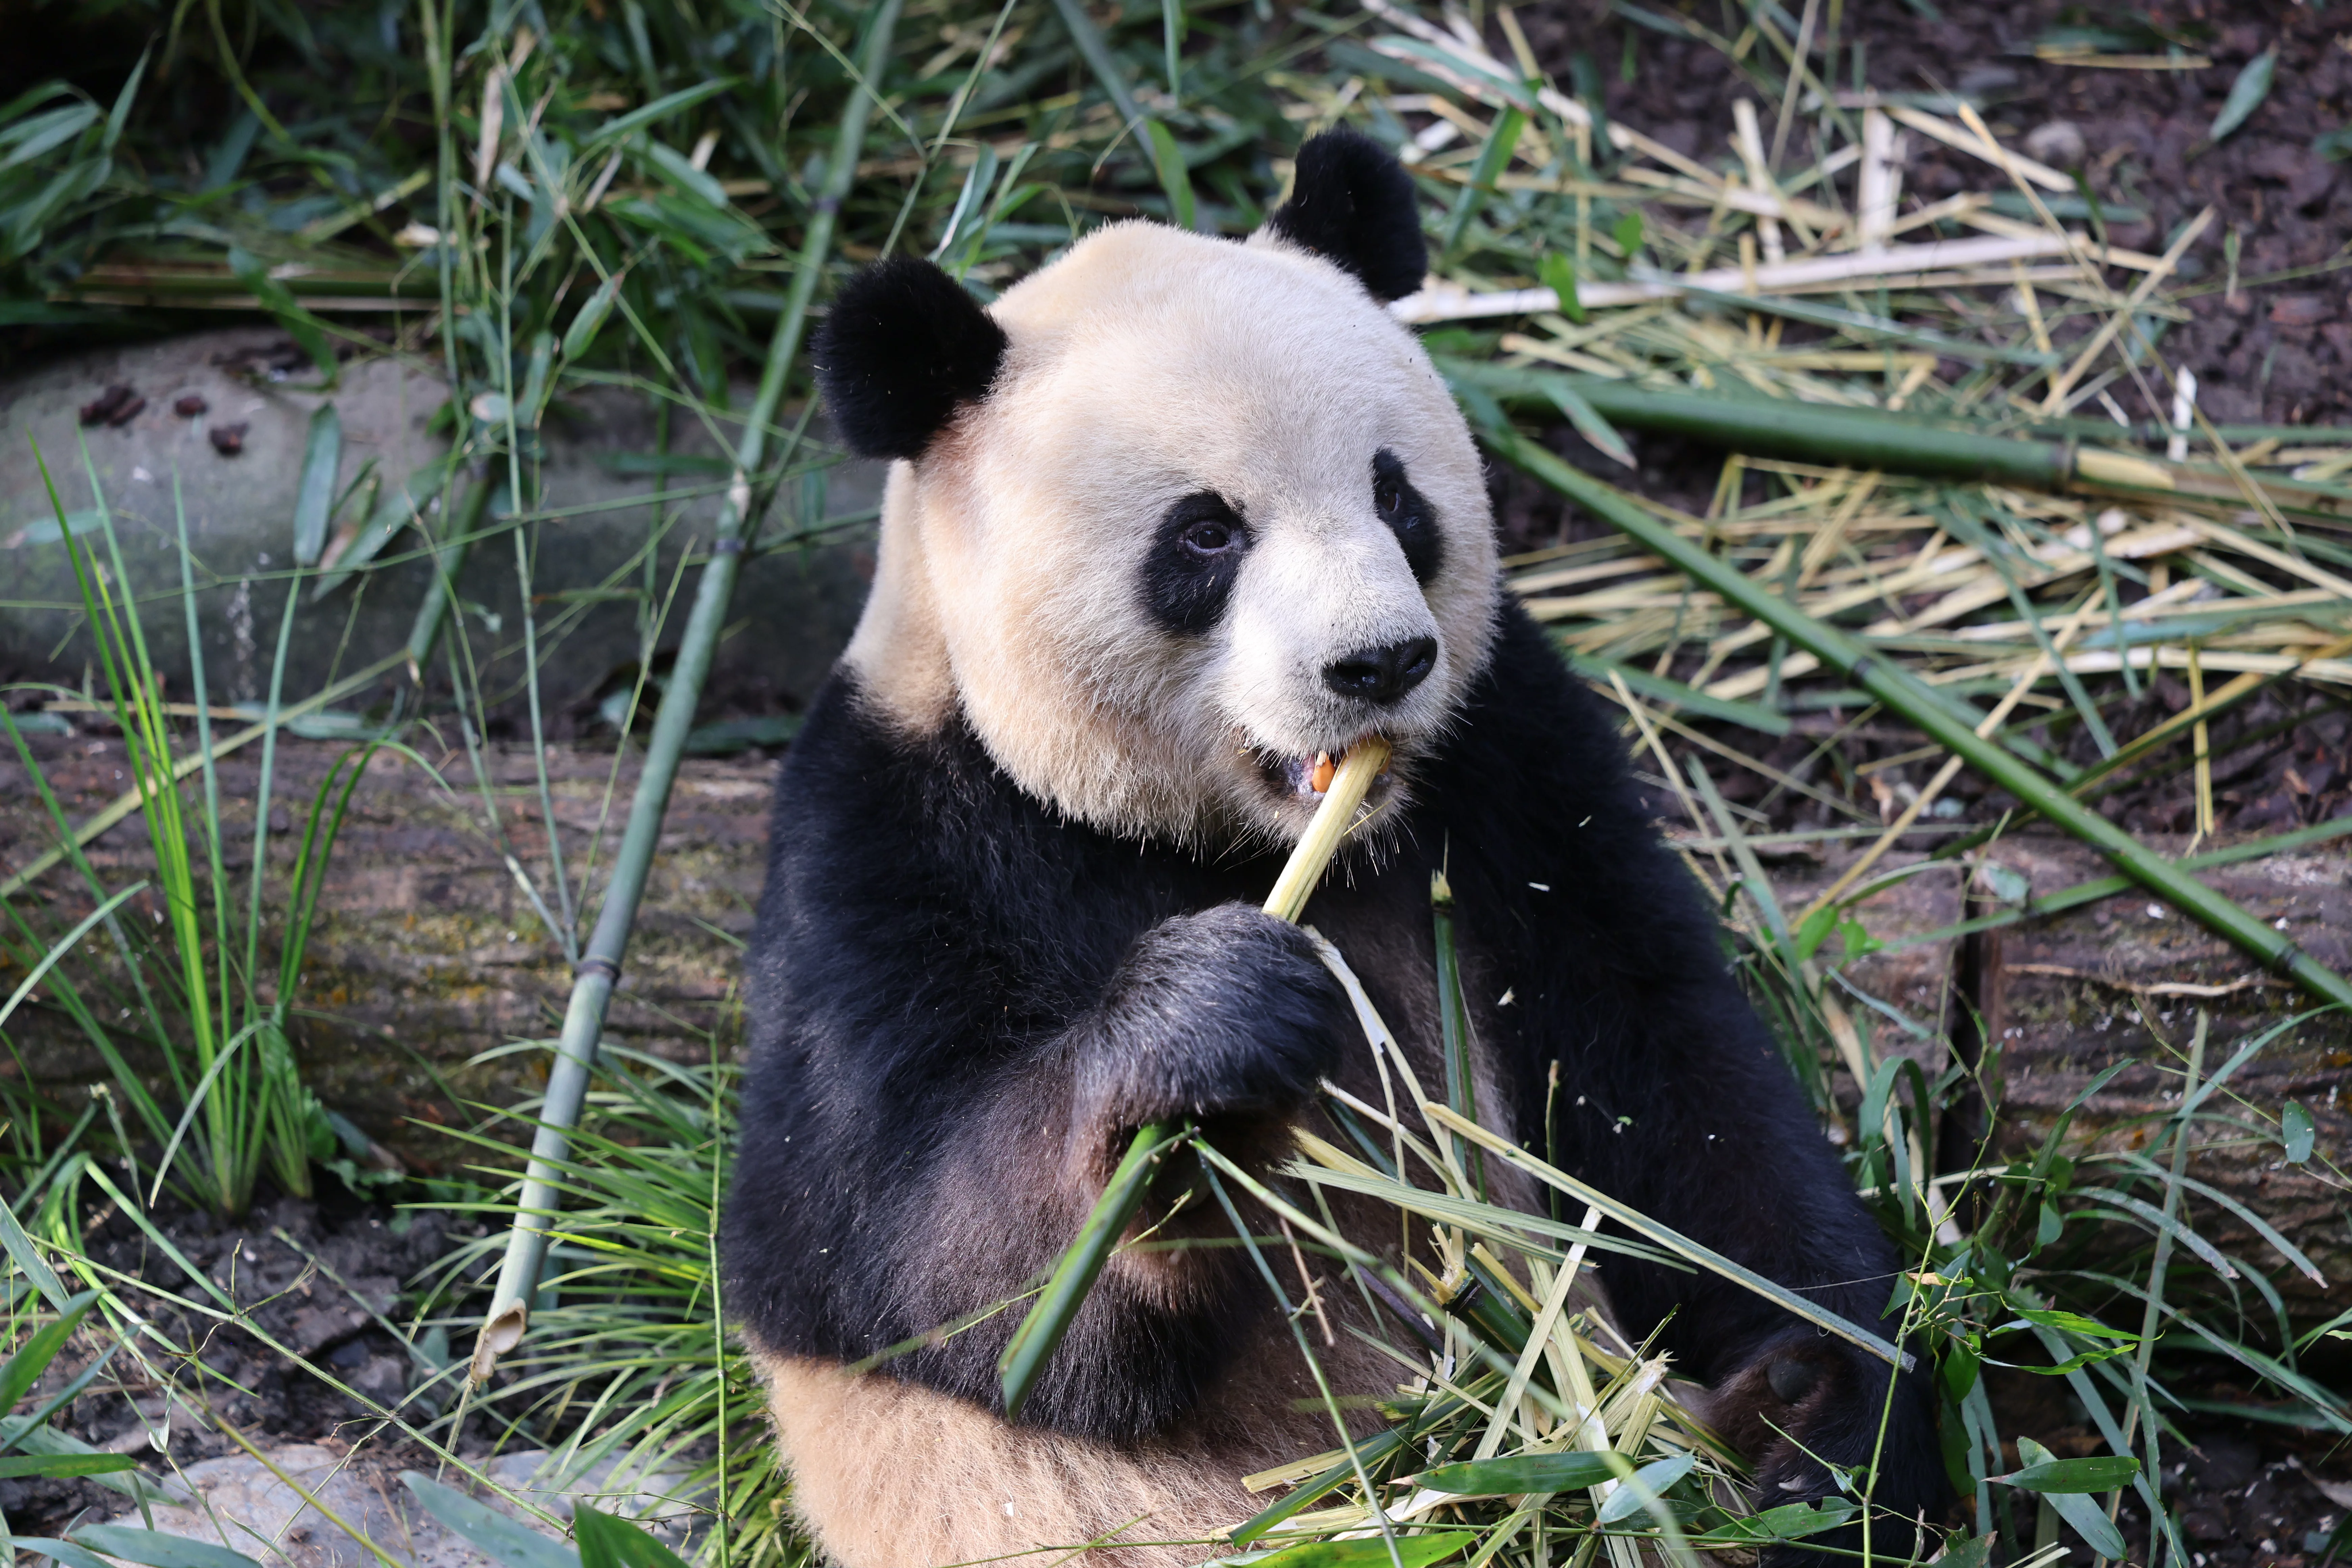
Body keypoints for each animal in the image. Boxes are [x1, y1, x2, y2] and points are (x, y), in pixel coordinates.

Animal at [721, 128, 1945, 1568]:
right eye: (1204, 531)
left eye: (1393, 491)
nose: (1379, 663)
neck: (1250, 845)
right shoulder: (891, 840)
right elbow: (878, 1247)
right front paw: (1202, 1035)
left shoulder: (1511, 758)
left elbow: (1666, 1074)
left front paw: (1838, 1424)